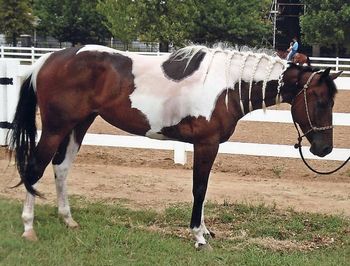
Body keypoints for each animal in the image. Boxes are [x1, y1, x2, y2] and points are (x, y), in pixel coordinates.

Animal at [8, 44, 342, 249]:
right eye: (320, 100)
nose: (324, 149)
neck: (227, 87)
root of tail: (48, 60)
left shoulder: (208, 146)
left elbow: (204, 188)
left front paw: (204, 230)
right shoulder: (206, 144)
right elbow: (199, 189)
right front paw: (198, 237)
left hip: (79, 124)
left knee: (61, 168)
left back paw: (68, 220)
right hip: (56, 128)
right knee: (35, 169)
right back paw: (28, 228)